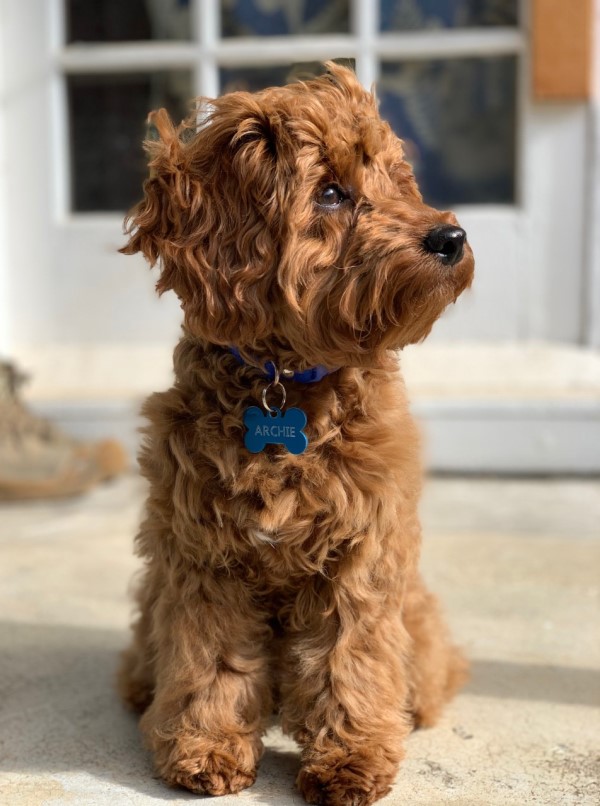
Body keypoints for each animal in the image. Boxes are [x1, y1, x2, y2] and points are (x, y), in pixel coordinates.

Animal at [117, 60, 474, 804]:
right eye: (331, 193)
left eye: (397, 180)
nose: (451, 238)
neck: (284, 381)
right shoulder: (203, 558)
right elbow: (211, 657)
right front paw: (206, 746)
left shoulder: (361, 553)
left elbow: (349, 658)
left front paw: (351, 758)